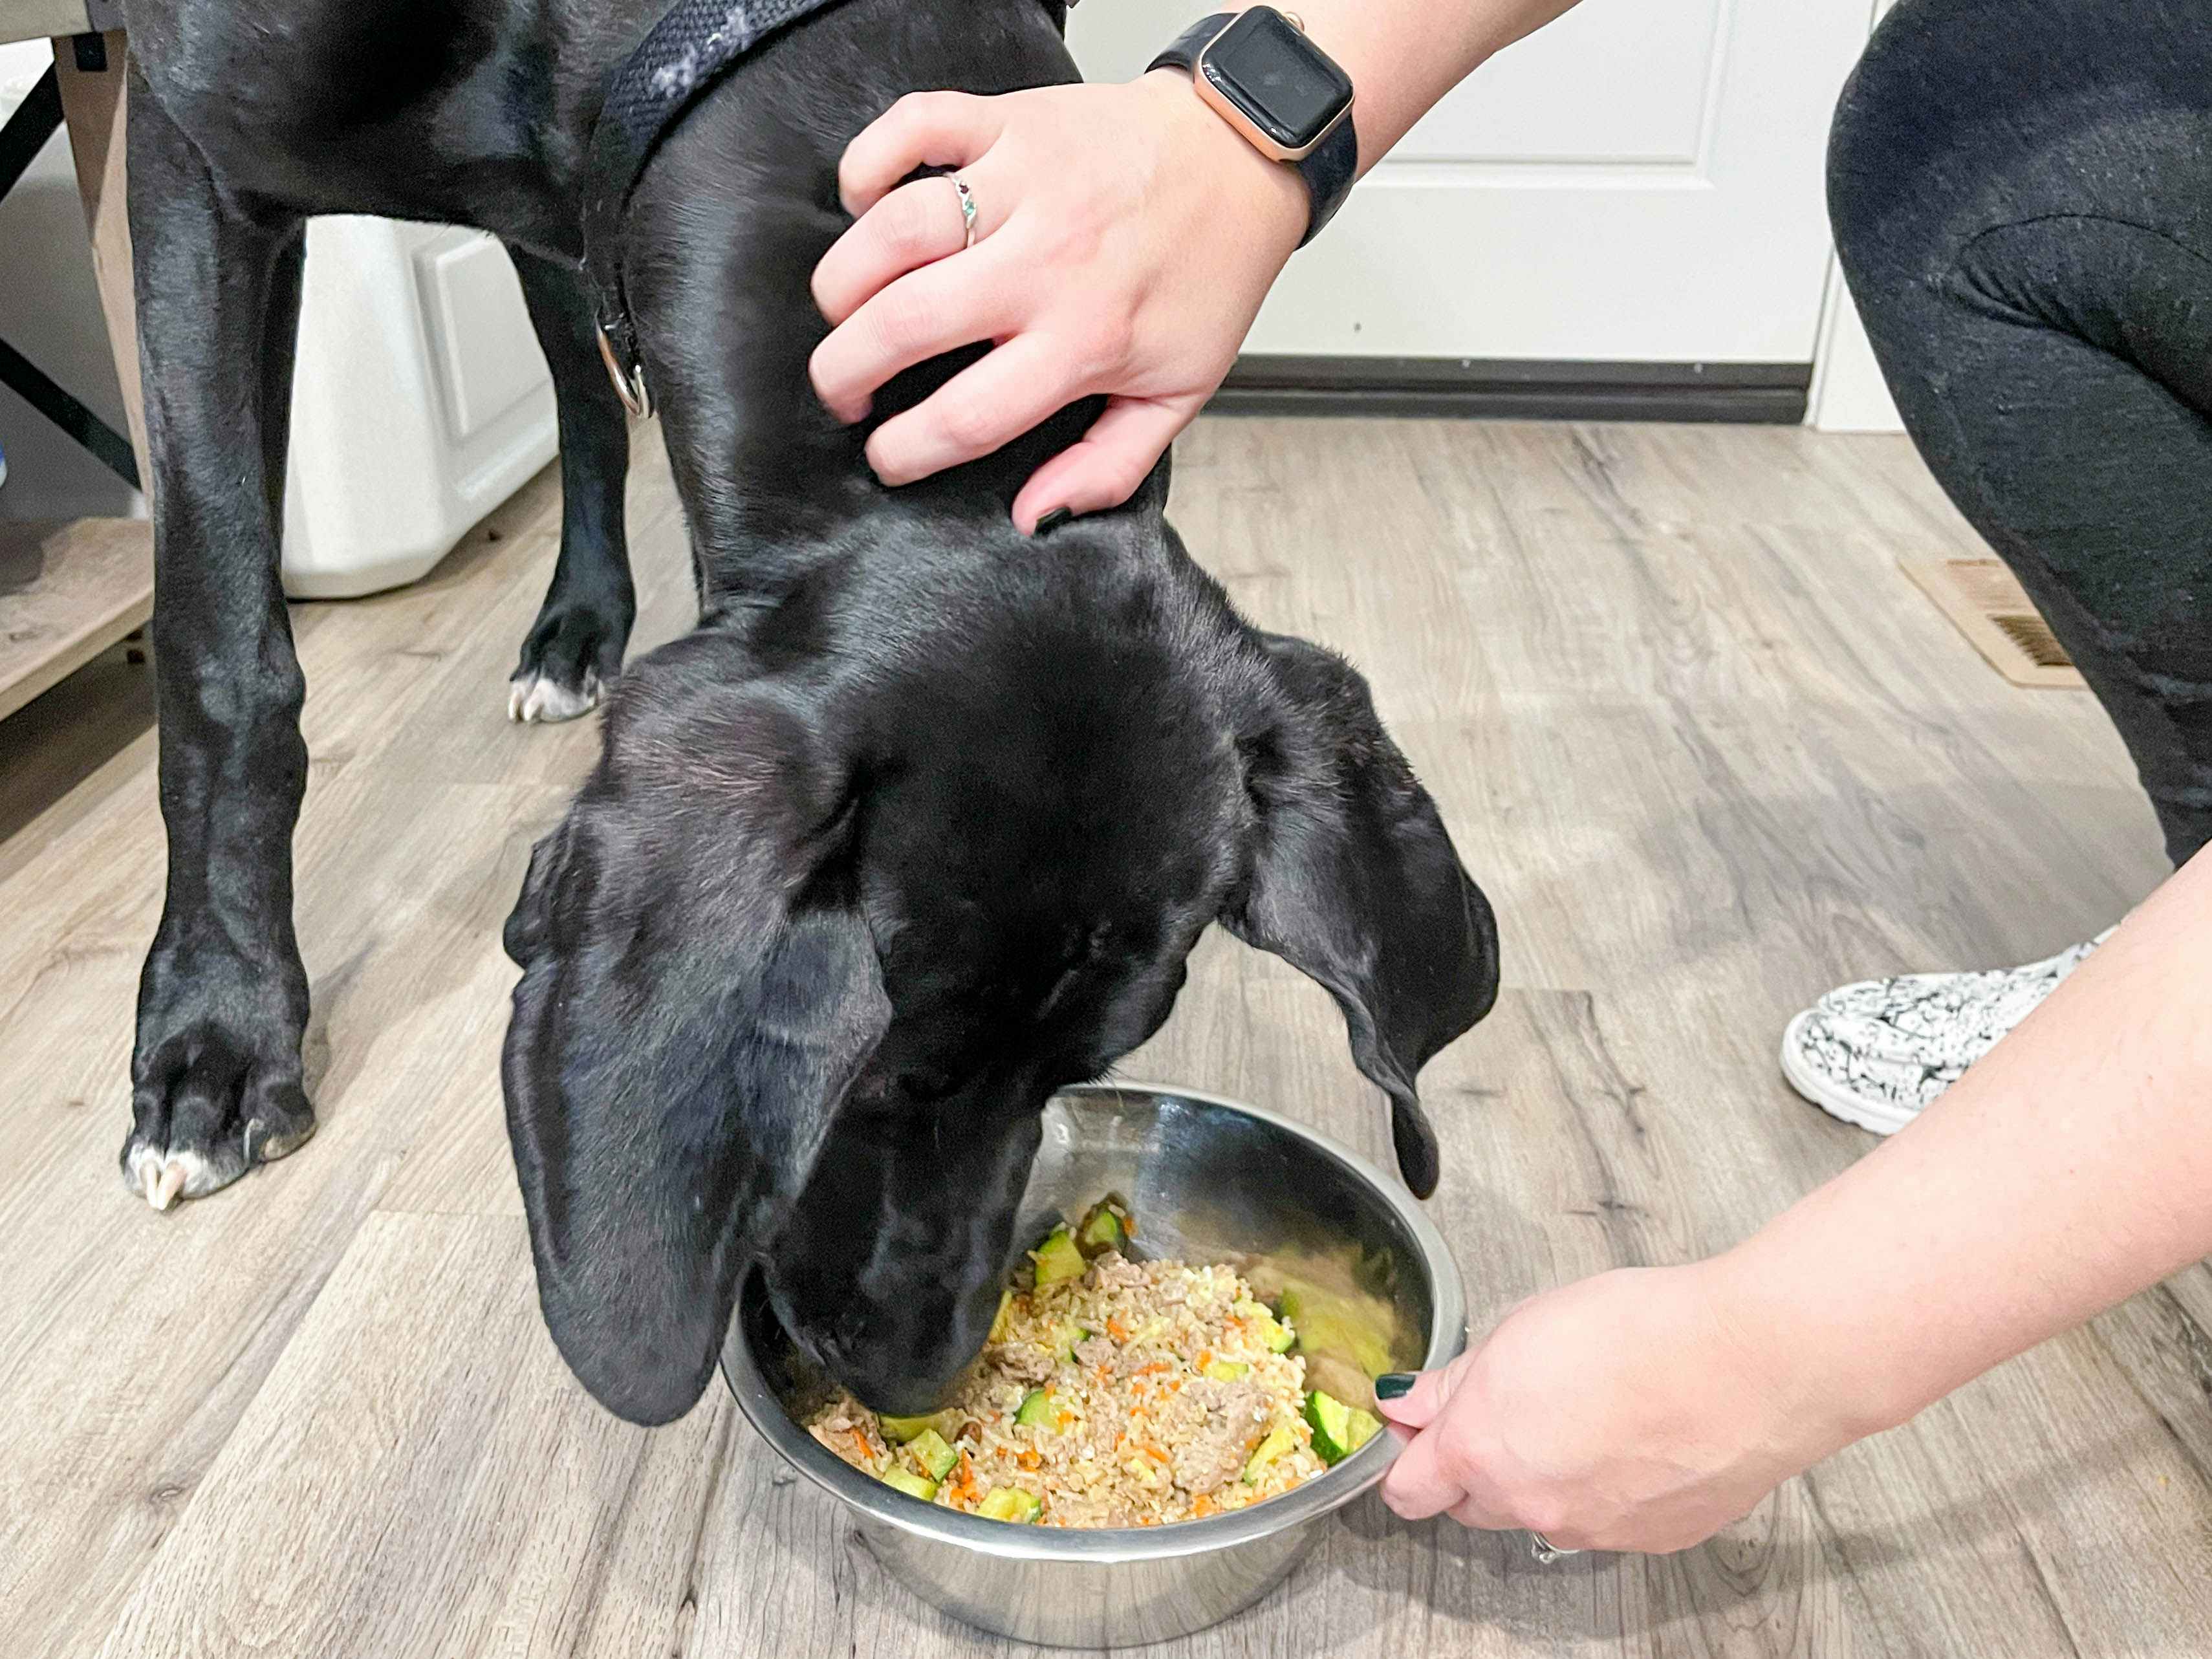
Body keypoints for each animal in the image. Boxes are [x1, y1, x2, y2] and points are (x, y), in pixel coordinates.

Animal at [121, 0, 1504, 1433]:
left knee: (580, 380)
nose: (913, 1375)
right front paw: (215, 1032)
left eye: (1079, 1071)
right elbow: (221, 638)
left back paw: (577, 626)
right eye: (877, 1077)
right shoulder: (188, 157)